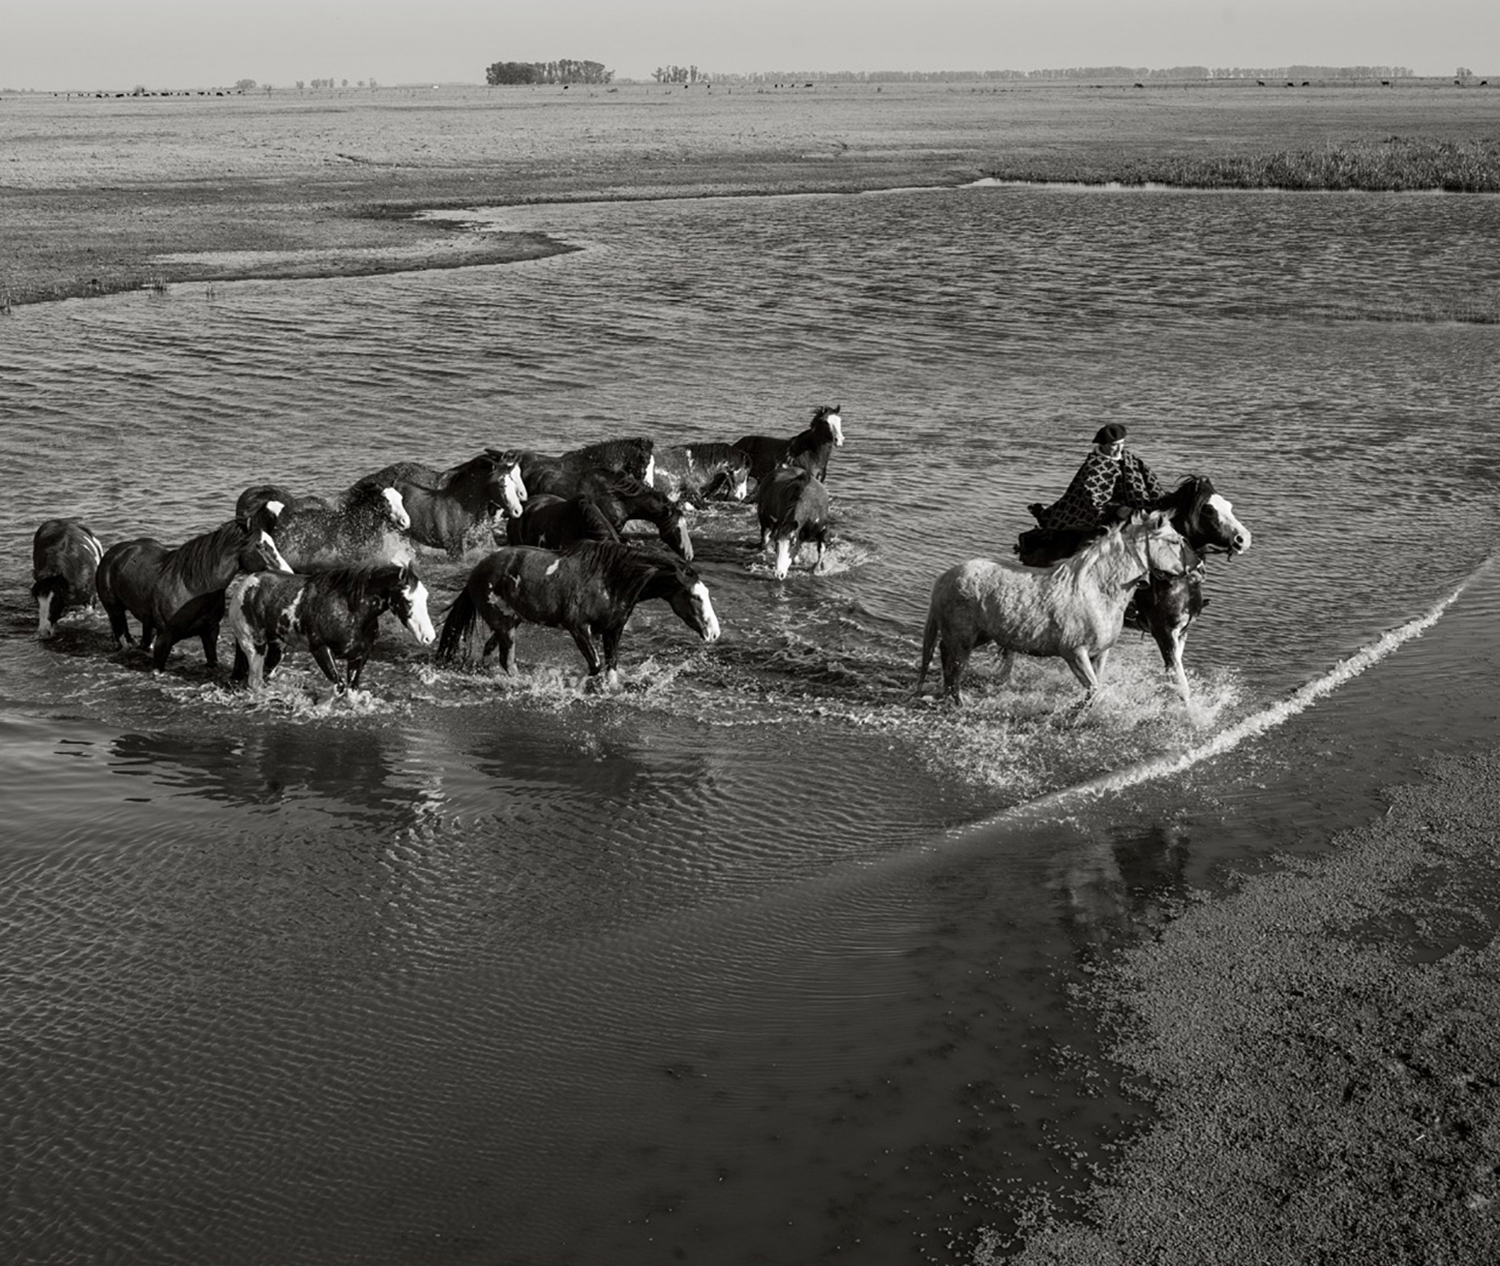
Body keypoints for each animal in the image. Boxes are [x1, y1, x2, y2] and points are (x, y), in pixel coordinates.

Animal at [435, 540, 720, 687]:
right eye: (695, 596)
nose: (714, 633)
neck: (610, 580)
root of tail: (476, 572)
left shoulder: (613, 630)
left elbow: (611, 668)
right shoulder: (579, 628)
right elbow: (595, 665)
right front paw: (571, 685)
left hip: (511, 622)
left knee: (490, 650)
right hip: (504, 624)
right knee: (508, 660)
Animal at [912, 510, 1194, 708]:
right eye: (1173, 541)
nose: (1194, 568)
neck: (1096, 590)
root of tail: (945, 578)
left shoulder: (1099, 654)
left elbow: (1097, 688)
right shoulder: (1074, 653)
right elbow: (1093, 690)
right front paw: (1071, 714)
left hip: (977, 636)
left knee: (946, 656)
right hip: (963, 637)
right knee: (953, 664)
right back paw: (959, 701)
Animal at [1014, 480, 1248, 708]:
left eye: (1228, 505)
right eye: (1208, 510)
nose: (1243, 539)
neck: (1177, 581)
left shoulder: (1181, 632)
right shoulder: (1163, 632)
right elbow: (1181, 684)